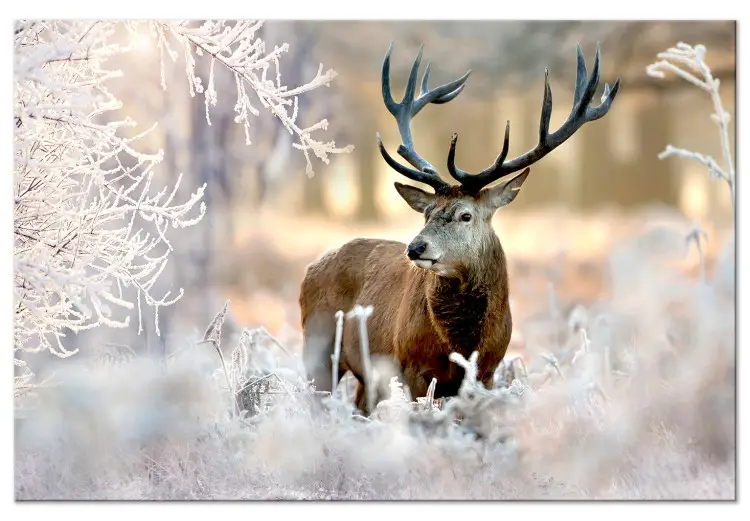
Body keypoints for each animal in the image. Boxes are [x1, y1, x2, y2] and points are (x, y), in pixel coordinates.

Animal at [300, 42, 620, 415]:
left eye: (466, 215)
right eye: (427, 213)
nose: (415, 248)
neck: (462, 344)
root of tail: (310, 268)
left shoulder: (487, 372)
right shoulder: (411, 367)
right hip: (318, 346)